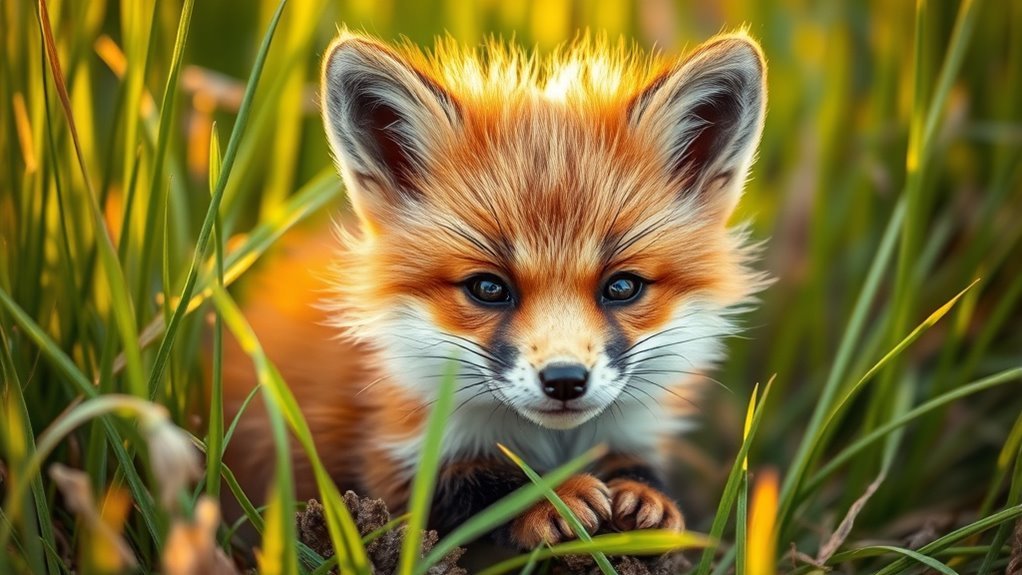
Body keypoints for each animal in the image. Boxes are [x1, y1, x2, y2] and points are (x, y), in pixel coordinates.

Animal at [220, 29, 768, 549]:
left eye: (622, 286)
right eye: (487, 287)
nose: (565, 380)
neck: (553, 445)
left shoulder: (633, 431)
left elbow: (635, 467)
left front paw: (644, 495)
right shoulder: (392, 459)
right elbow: (482, 488)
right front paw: (553, 495)